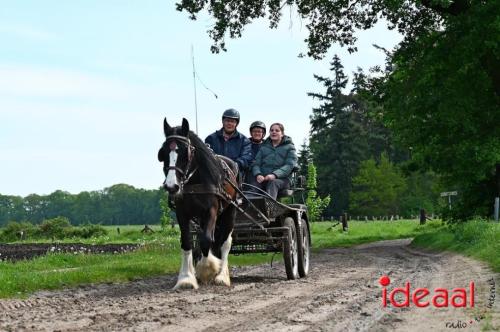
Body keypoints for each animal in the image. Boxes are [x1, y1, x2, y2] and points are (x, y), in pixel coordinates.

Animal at [159, 118, 239, 290]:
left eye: (186, 152)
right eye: (162, 153)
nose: (172, 186)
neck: (194, 181)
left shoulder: (212, 211)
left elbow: (206, 240)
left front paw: (207, 269)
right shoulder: (182, 213)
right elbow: (187, 241)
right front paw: (186, 278)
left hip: (230, 211)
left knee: (225, 242)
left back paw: (222, 276)